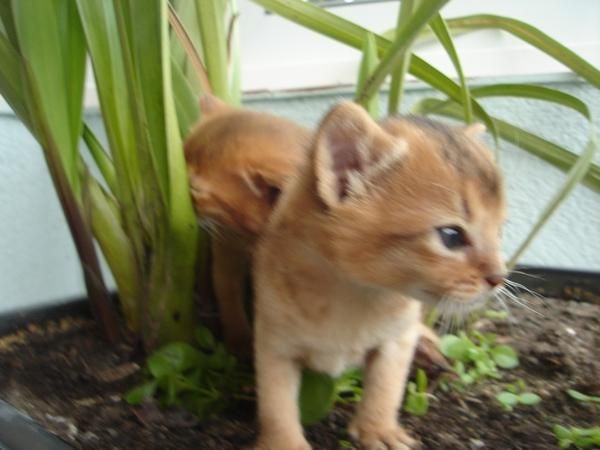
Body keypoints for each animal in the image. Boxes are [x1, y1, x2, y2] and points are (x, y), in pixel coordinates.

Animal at [253, 103, 506, 450]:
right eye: (451, 236)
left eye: (500, 230)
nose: (499, 278)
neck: (355, 293)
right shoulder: (273, 344)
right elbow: (276, 404)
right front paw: (284, 443)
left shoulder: (396, 340)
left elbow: (386, 388)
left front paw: (378, 430)